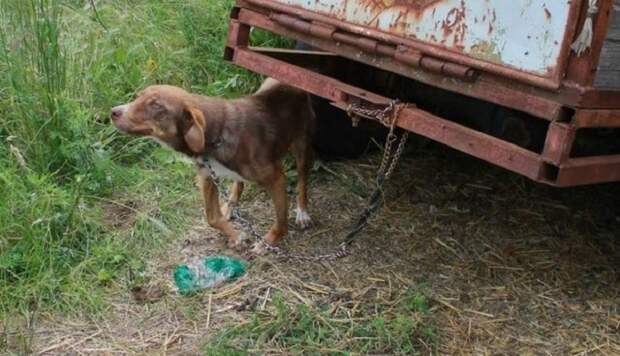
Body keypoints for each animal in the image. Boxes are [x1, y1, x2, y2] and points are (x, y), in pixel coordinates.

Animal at [110, 78, 314, 250]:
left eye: (156, 106)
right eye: (139, 96)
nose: (113, 112)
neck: (215, 136)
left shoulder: (276, 178)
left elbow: (281, 221)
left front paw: (267, 243)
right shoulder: (207, 177)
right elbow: (212, 218)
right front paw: (236, 235)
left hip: (302, 145)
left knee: (302, 179)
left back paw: (302, 212)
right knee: (238, 183)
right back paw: (230, 205)